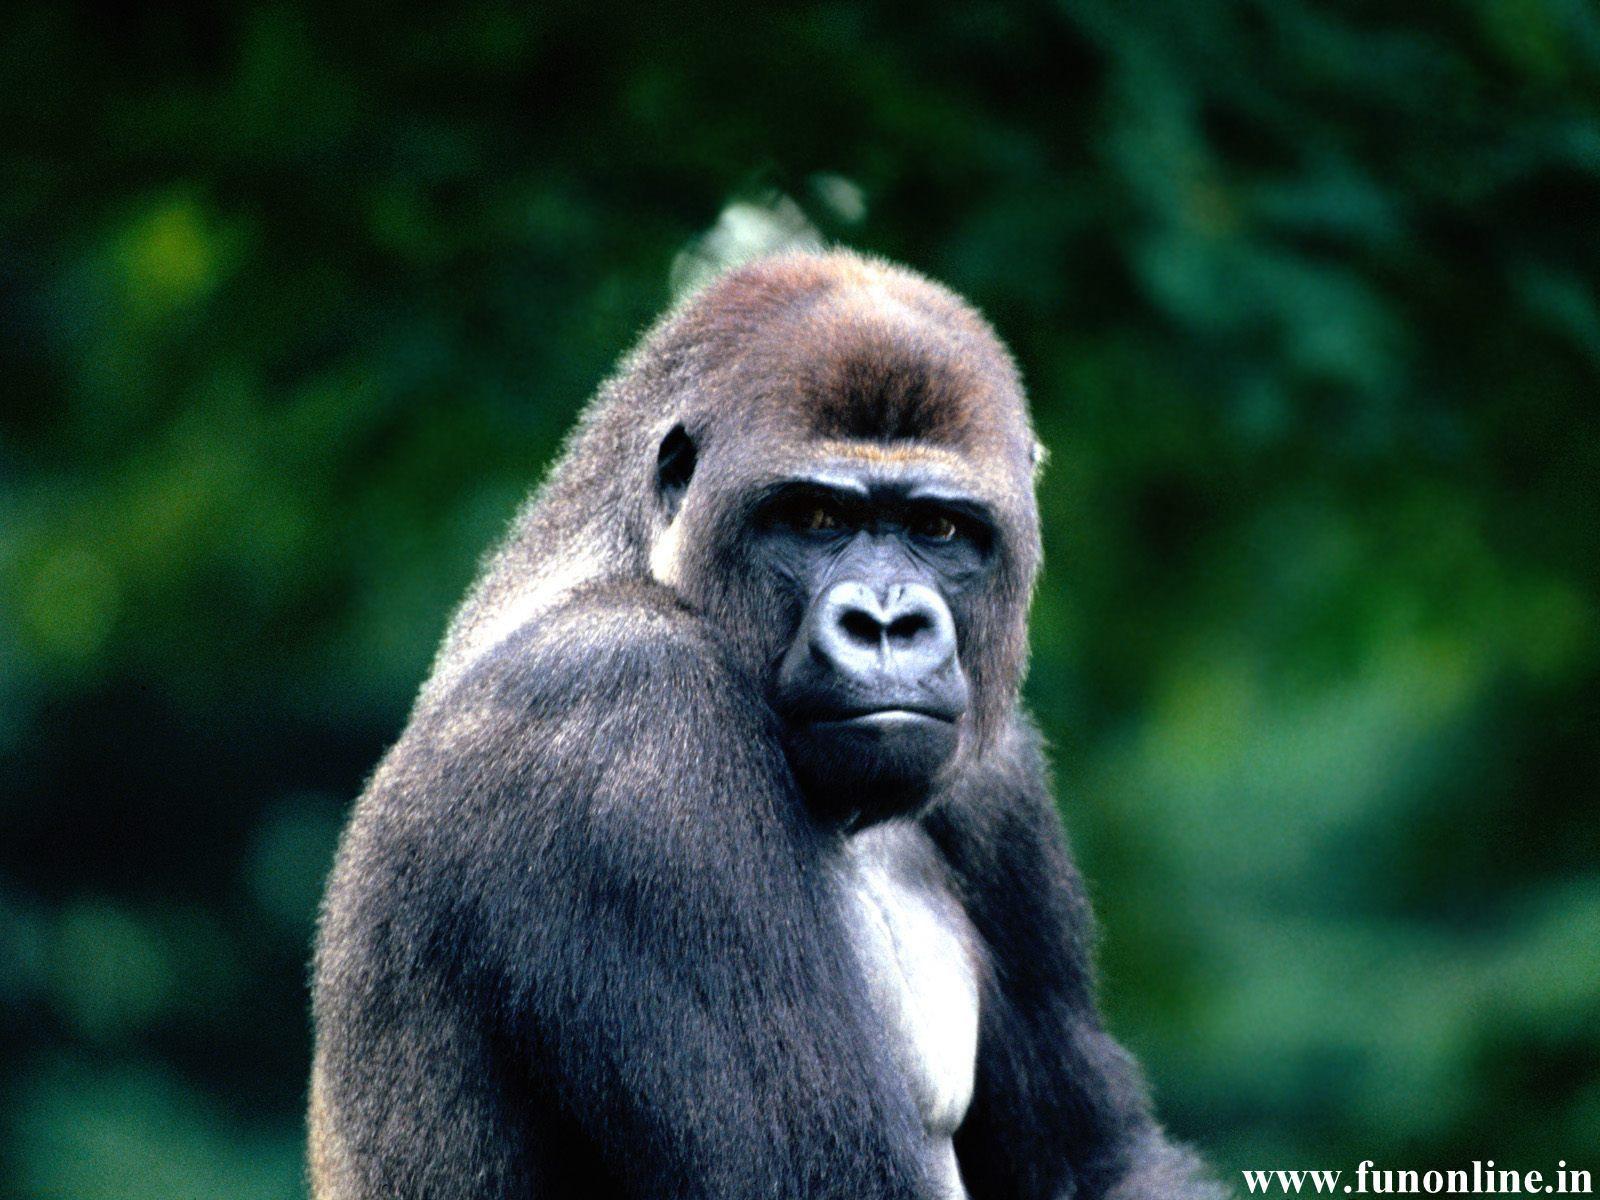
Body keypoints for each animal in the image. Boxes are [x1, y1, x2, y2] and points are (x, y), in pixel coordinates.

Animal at [308, 249, 1224, 1200]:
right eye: (816, 518)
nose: (888, 623)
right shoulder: (629, 715)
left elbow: (1099, 1157)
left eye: (938, 527)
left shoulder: (999, 774)